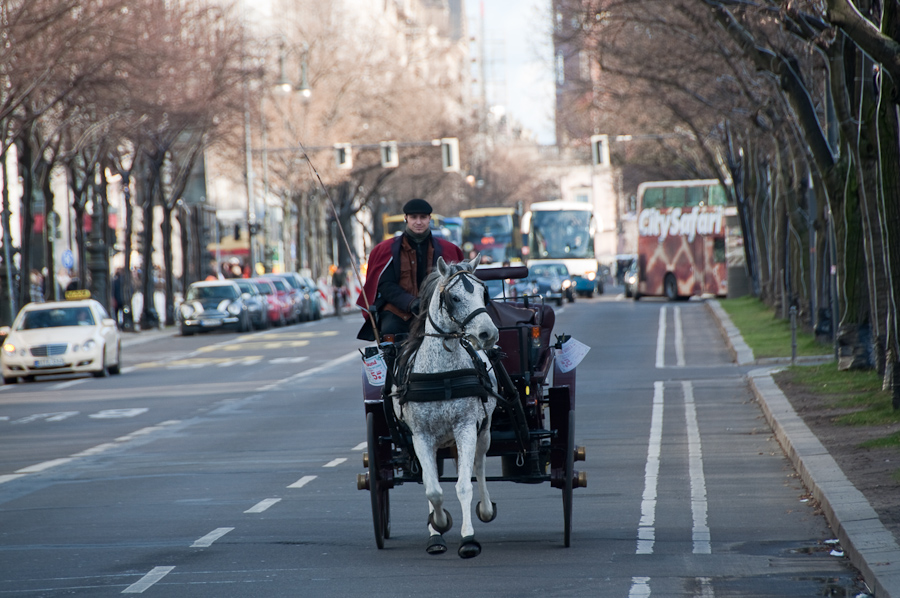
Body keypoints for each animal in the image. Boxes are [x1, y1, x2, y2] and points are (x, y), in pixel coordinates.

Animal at [392, 255, 500, 560]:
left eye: (484, 293)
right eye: (454, 297)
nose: (488, 333)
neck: (442, 375)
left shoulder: (466, 428)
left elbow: (464, 485)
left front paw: (468, 539)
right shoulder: (421, 437)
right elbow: (433, 490)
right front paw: (438, 525)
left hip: (483, 431)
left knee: (479, 465)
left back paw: (485, 509)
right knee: (433, 479)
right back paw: (435, 534)